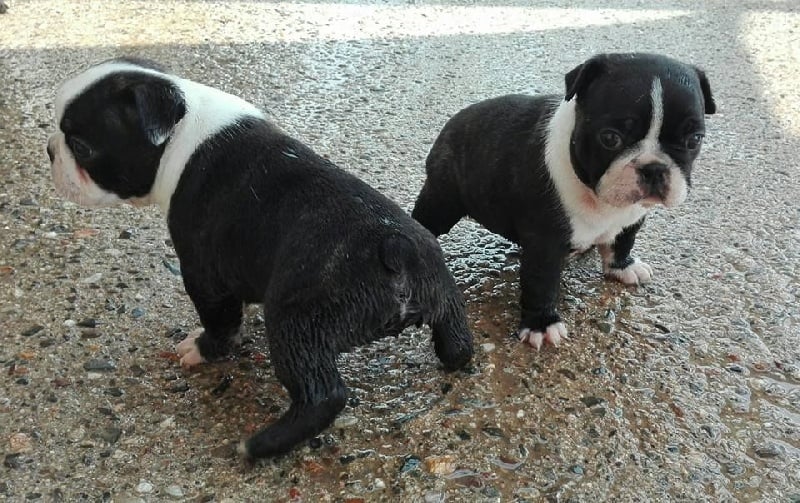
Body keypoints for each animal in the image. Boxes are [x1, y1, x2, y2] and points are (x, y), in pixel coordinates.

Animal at [47, 58, 473, 459]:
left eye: (81, 147)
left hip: (298, 322)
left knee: (323, 393)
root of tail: (395, 247)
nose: (50, 150)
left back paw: (260, 445)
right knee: (457, 345)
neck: (182, 128)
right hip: (443, 293)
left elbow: (219, 318)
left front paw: (204, 349)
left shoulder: (203, 271)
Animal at [411, 53, 715, 350]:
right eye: (610, 138)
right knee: (425, 220)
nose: (654, 168)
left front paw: (622, 266)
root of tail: (453, 122)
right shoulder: (544, 241)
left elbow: (623, 241)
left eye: (694, 140)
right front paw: (542, 325)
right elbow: (542, 283)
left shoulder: (632, 218)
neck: (598, 197)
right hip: (443, 200)